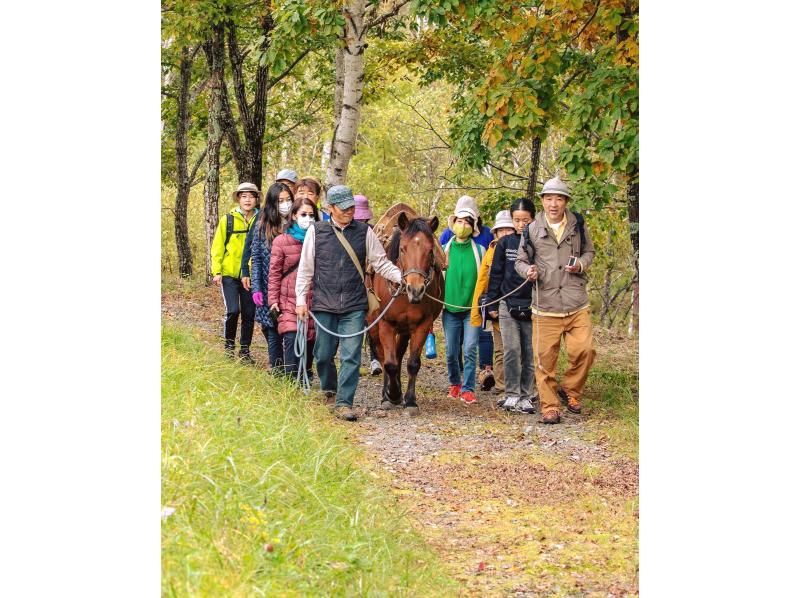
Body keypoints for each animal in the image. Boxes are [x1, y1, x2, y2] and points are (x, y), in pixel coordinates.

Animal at [368, 214, 444, 418]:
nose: (415, 289)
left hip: (404, 330)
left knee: (399, 354)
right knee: (383, 355)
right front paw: (391, 395)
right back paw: (386, 393)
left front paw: (409, 400)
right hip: (374, 325)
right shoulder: (386, 323)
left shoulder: (422, 325)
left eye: (430, 250)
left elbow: (412, 363)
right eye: (403, 249)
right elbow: (389, 363)